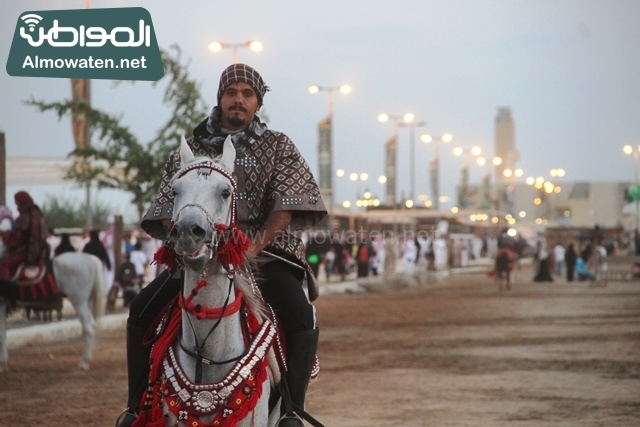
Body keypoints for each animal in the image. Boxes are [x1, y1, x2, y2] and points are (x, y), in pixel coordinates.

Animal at [0, 206, 105, 372]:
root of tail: (89, 258)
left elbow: (1, 335)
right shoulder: (3, 305)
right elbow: (3, 334)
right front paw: (4, 363)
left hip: (78, 301)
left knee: (89, 327)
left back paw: (84, 362)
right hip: (85, 301)